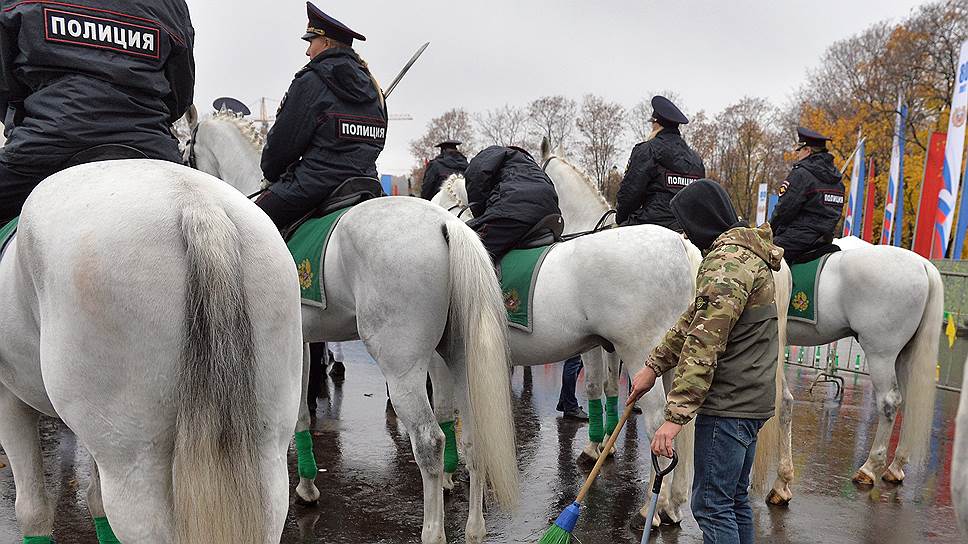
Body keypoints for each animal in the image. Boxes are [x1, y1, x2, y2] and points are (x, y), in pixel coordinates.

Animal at [0, 159, 302, 540]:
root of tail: (196, 204)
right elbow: (93, 501)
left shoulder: (8, 401)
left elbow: (33, 512)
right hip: (268, 451)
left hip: (133, 468)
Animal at [188, 111, 520, 544]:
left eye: (187, 144)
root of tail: (447, 225)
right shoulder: (306, 341)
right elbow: (302, 414)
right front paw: (308, 484)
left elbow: (297, 415)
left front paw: (305, 487)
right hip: (460, 357)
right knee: (473, 439)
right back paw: (475, 529)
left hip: (402, 367)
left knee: (430, 443)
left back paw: (433, 531)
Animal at [432, 138, 704, 528]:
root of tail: (681, 244)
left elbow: (444, 411)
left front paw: (448, 475)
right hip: (669, 359)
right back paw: (671, 505)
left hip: (641, 357)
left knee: (656, 427)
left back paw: (650, 509)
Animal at [492, 140, 936, 510]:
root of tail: (924, 265)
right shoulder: (611, 345)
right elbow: (616, 391)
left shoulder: (600, 346)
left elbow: (598, 386)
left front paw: (597, 447)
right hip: (895, 353)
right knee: (810, 403)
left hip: (879, 350)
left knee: (886, 402)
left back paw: (866, 469)